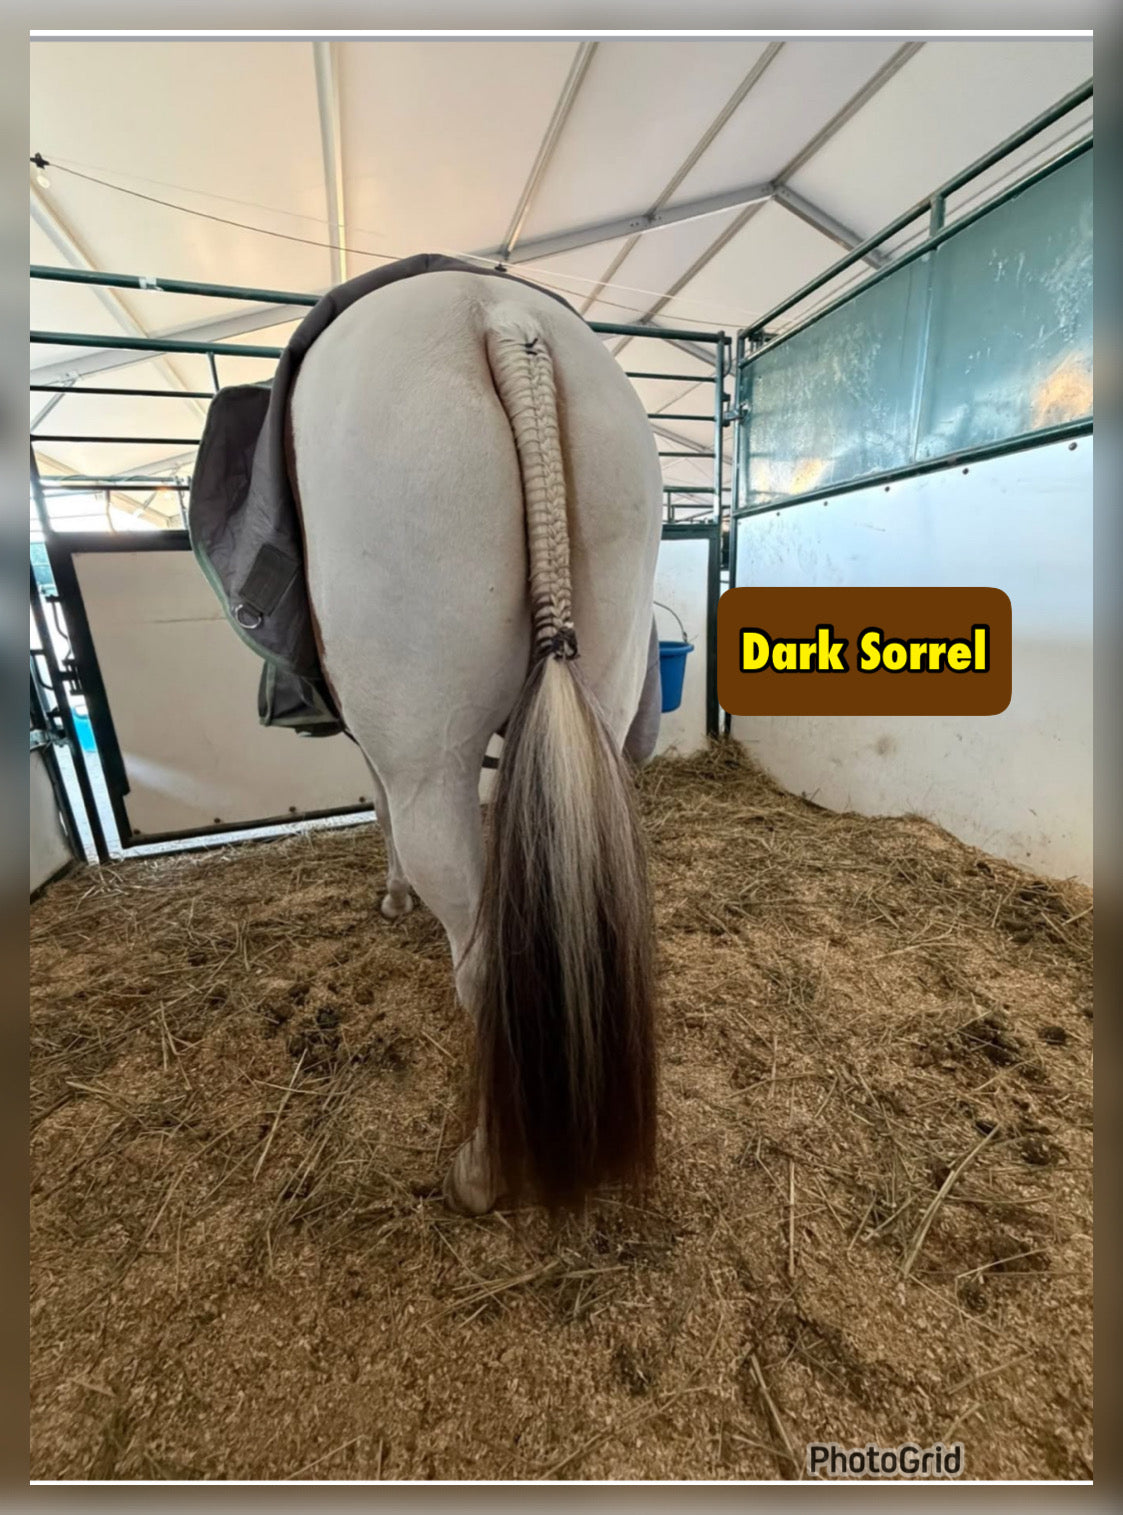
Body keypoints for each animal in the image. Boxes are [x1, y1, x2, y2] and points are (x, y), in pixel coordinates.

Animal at [289, 269, 664, 1214]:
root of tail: (501, 318)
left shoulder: (380, 745)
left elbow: (379, 810)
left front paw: (392, 896)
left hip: (433, 757)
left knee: (482, 965)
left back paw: (483, 1168)